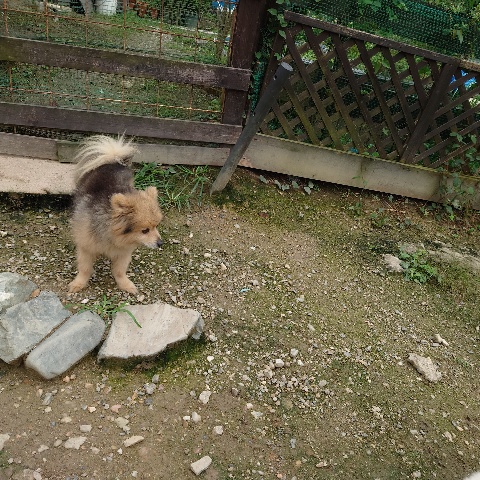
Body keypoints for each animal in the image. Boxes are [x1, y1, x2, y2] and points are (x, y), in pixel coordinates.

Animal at [68, 135, 163, 294]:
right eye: (145, 230)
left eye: (156, 226)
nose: (160, 243)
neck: (111, 235)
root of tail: (112, 160)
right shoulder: (86, 247)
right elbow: (85, 268)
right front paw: (79, 283)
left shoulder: (123, 252)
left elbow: (119, 271)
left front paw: (125, 284)